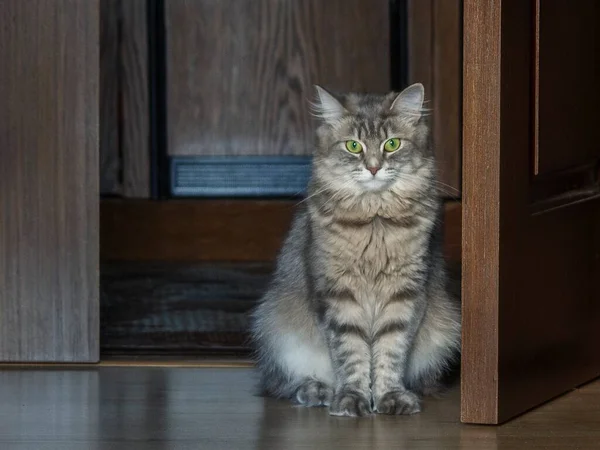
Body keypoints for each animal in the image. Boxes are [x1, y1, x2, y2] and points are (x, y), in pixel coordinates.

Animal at [248, 82, 460, 416]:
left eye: (392, 144)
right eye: (353, 146)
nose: (373, 168)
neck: (374, 221)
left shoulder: (405, 294)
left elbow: (390, 352)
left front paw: (390, 397)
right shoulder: (337, 294)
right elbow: (351, 355)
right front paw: (352, 398)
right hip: (275, 329)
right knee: (283, 383)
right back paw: (317, 391)